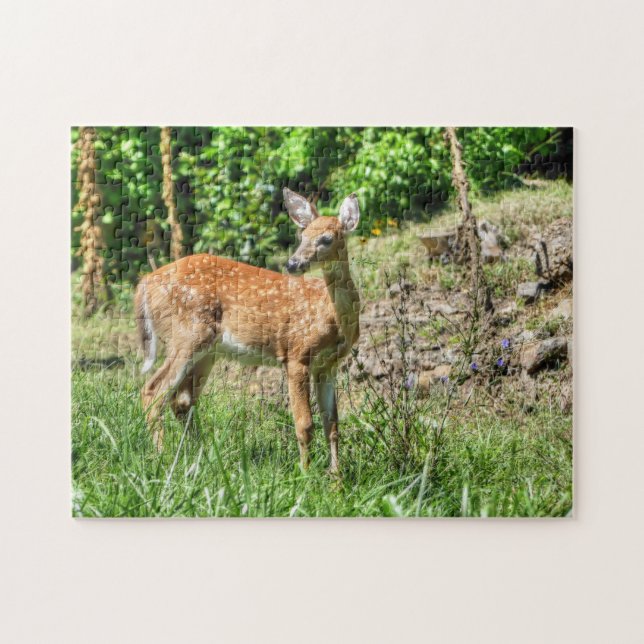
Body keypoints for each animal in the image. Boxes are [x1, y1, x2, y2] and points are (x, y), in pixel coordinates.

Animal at [134, 188, 361, 474]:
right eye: (303, 235)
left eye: (327, 238)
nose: (293, 263)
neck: (331, 316)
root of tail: (144, 284)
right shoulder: (296, 354)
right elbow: (305, 424)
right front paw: (306, 475)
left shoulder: (327, 365)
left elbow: (332, 424)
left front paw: (336, 478)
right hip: (187, 334)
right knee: (153, 391)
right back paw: (163, 458)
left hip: (207, 351)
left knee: (182, 400)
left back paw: (201, 456)